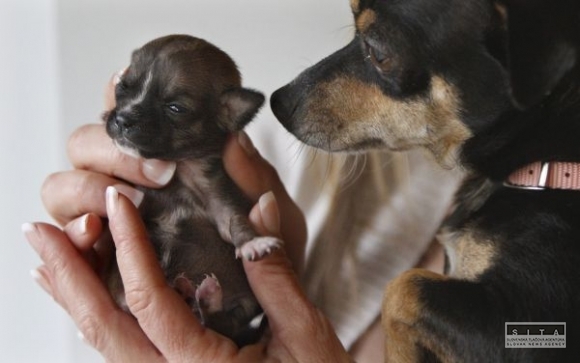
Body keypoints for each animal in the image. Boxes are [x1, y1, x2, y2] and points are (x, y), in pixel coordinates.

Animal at [103, 34, 282, 346]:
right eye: (123, 86)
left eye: (175, 107)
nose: (122, 119)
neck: (179, 172)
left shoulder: (220, 197)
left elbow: (236, 222)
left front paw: (253, 243)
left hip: (241, 307)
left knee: (220, 323)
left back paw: (205, 297)